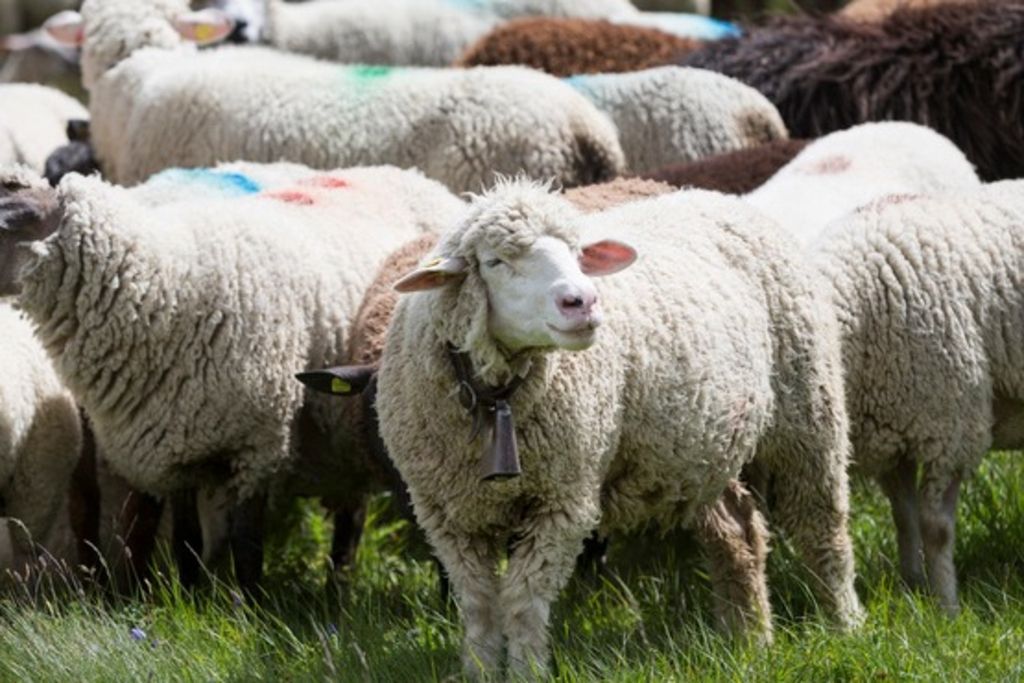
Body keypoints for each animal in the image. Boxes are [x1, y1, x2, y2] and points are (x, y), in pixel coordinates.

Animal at [374, 180, 862, 678]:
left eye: (576, 253)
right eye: (494, 262)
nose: (584, 302)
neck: (497, 402)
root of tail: (719, 197)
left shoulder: (563, 500)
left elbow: (523, 603)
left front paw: (528, 673)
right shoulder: (447, 515)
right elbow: (479, 607)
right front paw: (480, 672)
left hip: (808, 411)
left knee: (822, 526)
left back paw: (844, 624)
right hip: (699, 450)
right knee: (739, 530)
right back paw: (750, 639)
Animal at [814, 181, 1024, 614]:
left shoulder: (951, 428)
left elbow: (935, 526)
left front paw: (947, 607)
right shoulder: (891, 435)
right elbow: (903, 517)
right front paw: (912, 587)